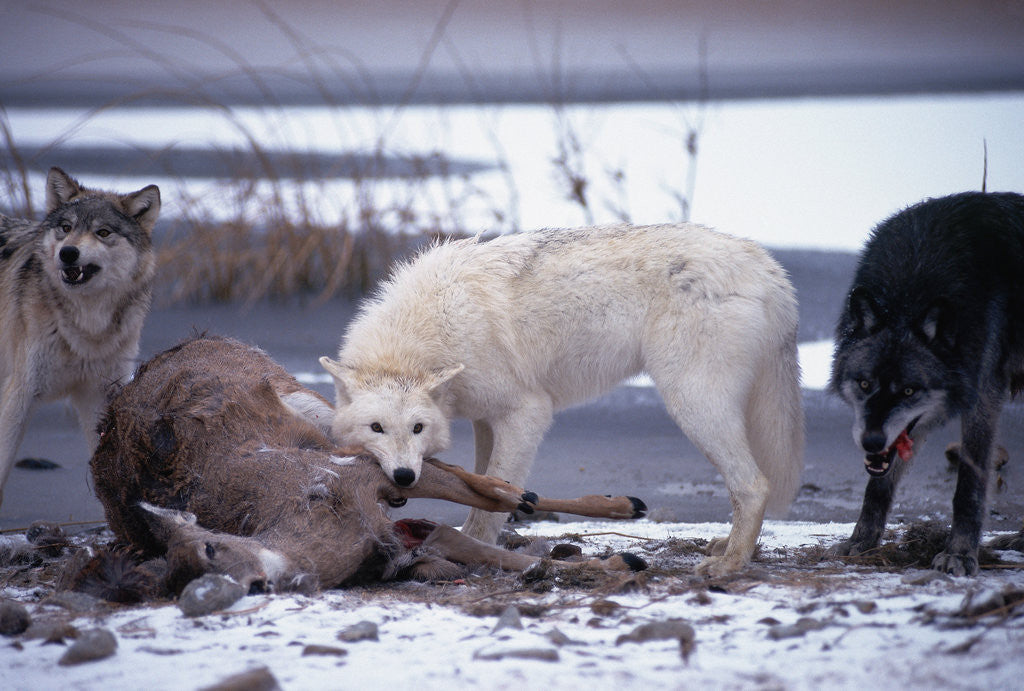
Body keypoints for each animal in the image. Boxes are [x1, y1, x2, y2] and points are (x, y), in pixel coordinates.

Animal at [0, 167, 160, 508]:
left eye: (103, 232)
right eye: (66, 228)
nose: (68, 253)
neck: (87, 330)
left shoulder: (99, 398)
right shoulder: (19, 394)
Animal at [89, 336, 647, 595]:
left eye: (211, 547)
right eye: (178, 577)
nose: (248, 588)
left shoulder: (354, 470)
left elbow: (465, 495)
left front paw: (621, 545)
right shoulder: (399, 530)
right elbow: (464, 540)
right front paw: (619, 561)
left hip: (314, 407)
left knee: (461, 475)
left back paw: (617, 502)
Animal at [320, 223, 805, 576]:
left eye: (417, 428)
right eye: (377, 428)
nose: (404, 476)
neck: (431, 333)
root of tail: (767, 266)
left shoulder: (526, 413)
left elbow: (490, 504)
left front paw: (469, 547)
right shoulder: (484, 420)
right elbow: (481, 485)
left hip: (692, 404)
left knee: (753, 485)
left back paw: (731, 563)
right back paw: (732, 548)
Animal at [830, 192, 1024, 576]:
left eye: (908, 390)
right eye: (864, 384)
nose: (871, 441)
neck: (911, 291)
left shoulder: (984, 399)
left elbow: (969, 486)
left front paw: (959, 553)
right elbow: (877, 487)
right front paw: (862, 541)